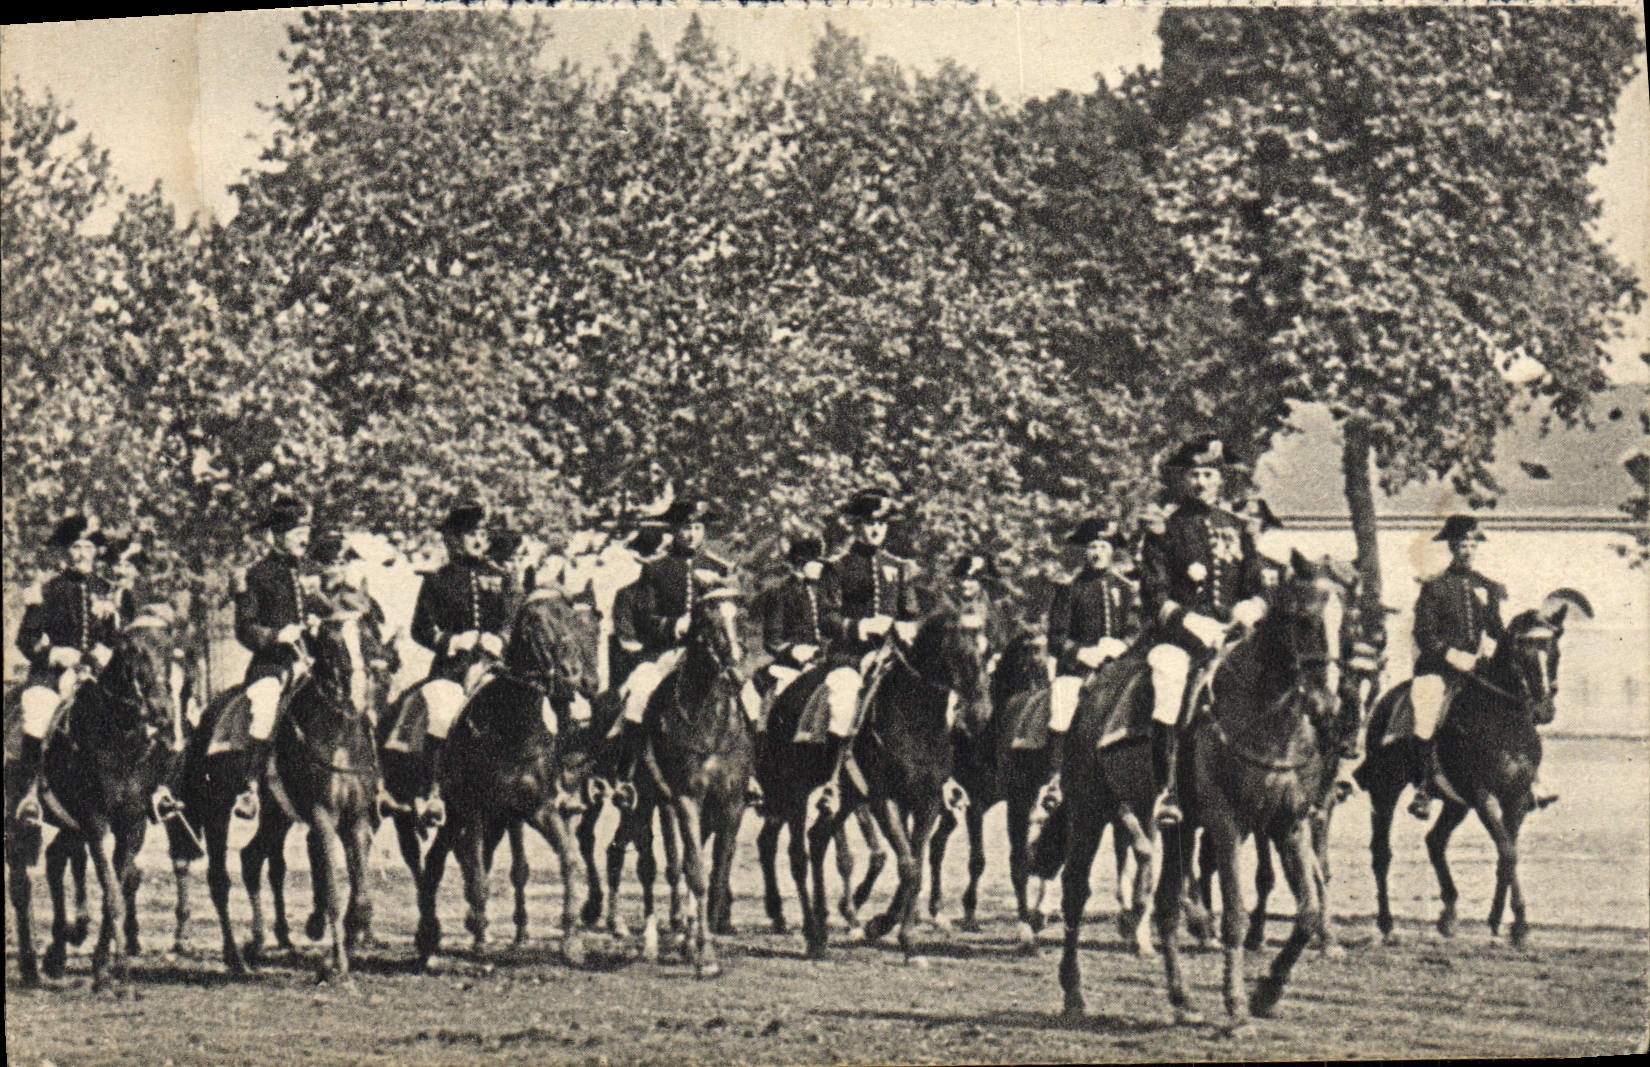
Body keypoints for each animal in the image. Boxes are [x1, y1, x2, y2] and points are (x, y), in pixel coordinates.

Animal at [4, 609, 182, 988]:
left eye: (170, 649)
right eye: (130, 650)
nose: (162, 711)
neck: (119, 741)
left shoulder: (131, 824)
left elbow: (114, 885)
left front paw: (104, 965)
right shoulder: (95, 821)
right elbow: (111, 890)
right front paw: (112, 972)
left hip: (68, 824)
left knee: (55, 861)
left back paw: (57, 952)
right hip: (17, 818)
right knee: (21, 884)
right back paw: (30, 965)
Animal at [756, 609, 990, 960]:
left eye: (988, 652)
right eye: (956, 651)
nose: (980, 714)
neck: (914, 721)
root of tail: (784, 695)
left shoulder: (926, 801)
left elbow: (915, 864)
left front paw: (892, 928)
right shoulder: (884, 801)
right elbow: (908, 865)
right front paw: (901, 936)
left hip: (847, 798)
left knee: (818, 838)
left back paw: (823, 929)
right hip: (794, 792)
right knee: (797, 854)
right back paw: (811, 932)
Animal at [1060, 552, 1357, 1029]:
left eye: (1345, 621)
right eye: (1302, 618)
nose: (1328, 707)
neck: (1265, 717)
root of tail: (1094, 689)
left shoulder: (1287, 824)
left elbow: (1309, 912)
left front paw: (1268, 993)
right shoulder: (1226, 824)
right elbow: (1234, 914)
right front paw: (1236, 1006)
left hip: (1176, 827)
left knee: (1165, 906)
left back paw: (1182, 1000)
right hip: (1088, 810)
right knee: (1074, 893)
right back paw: (1073, 993)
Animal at [1357, 588, 1590, 949]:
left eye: (1554, 649)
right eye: (1519, 651)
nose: (1543, 709)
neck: (1504, 720)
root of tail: (1385, 701)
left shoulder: (1515, 798)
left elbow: (1509, 852)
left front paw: (1511, 923)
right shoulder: (1483, 796)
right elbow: (1507, 851)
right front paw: (1505, 923)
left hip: (1455, 802)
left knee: (1435, 841)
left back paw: (1449, 915)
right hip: (1386, 789)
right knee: (1381, 852)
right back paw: (1387, 925)